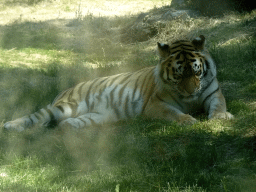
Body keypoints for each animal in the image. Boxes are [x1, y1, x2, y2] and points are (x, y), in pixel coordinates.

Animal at [3, 35, 234, 132]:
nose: (192, 91)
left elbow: (219, 105)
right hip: (65, 106)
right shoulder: (155, 104)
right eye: (178, 75)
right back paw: (10, 126)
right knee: (36, 116)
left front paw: (221, 117)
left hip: (96, 117)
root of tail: (64, 90)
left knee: (65, 122)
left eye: (196, 72)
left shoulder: (214, 93)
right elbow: (173, 113)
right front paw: (187, 120)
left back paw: (68, 127)